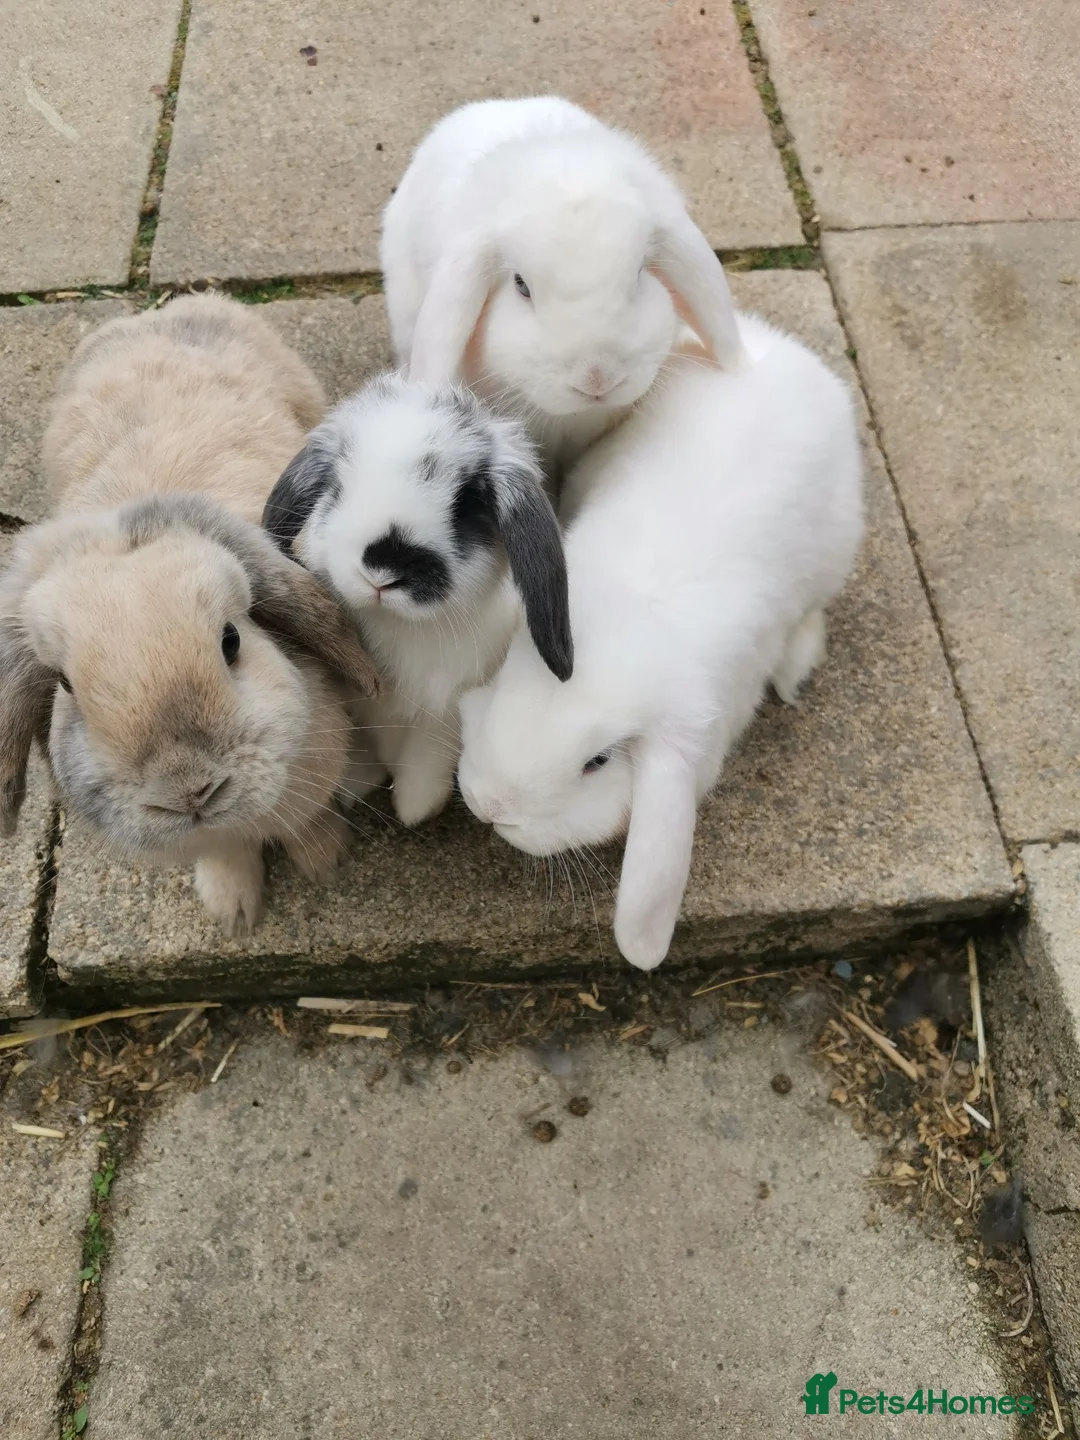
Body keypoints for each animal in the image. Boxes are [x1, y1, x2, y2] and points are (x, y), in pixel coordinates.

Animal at [0, 295, 380, 936]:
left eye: (231, 640)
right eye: (66, 686)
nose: (190, 789)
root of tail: (171, 307)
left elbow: (308, 819)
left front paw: (323, 861)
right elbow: (223, 852)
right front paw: (234, 913)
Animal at [262, 372, 572, 826]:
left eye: (466, 504)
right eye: (336, 488)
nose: (383, 569)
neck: (397, 627)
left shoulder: (445, 712)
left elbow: (426, 758)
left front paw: (414, 808)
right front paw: (351, 782)